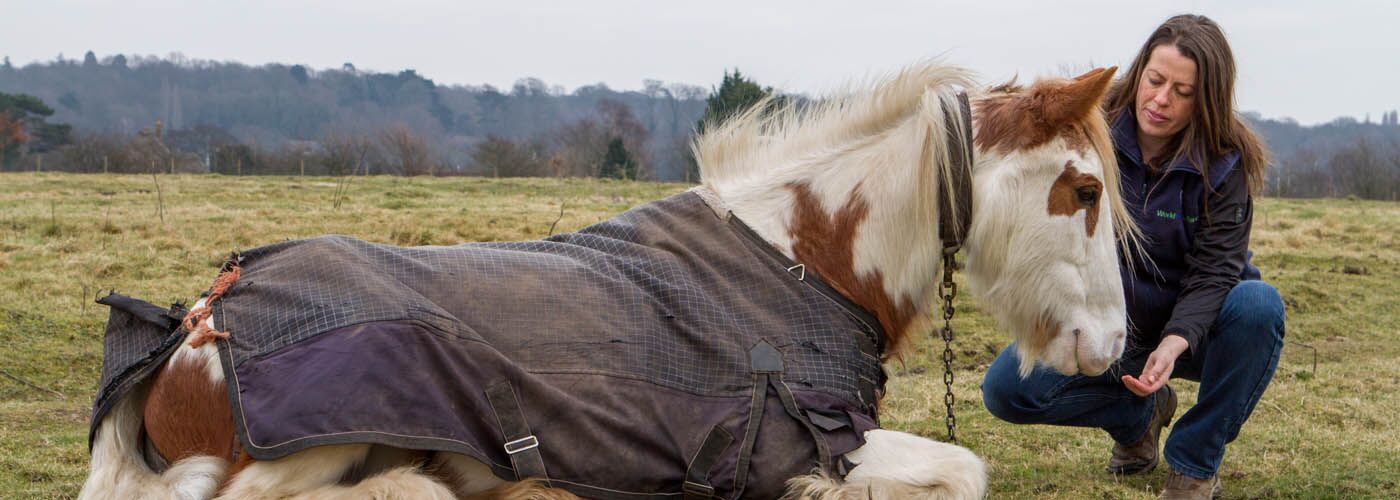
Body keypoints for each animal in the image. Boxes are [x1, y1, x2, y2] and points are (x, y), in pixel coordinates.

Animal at [76, 62, 1131, 498]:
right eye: (1082, 189)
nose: (1115, 346)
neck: (802, 258)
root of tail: (197, 323)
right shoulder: (814, 446)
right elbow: (966, 470)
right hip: (312, 447)